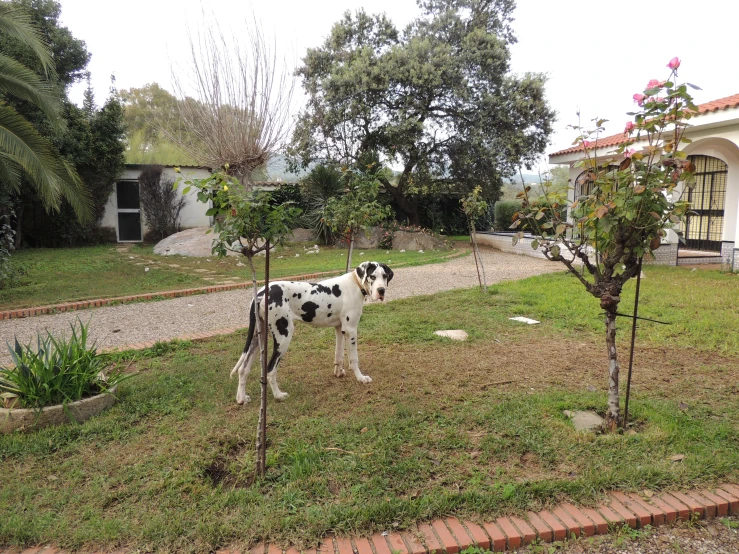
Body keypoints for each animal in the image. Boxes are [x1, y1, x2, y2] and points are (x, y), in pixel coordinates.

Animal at [230, 258, 394, 402]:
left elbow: (339, 355)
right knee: (270, 369)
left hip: (258, 337)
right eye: (372, 276)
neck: (355, 283)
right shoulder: (351, 330)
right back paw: (278, 395)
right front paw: (361, 378)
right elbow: (354, 359)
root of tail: (259, 294)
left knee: (243, 369)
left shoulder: (340, 329)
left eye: (384, 276)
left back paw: (241, 398)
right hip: (283, 336)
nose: (381, 290)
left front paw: (339, 372)